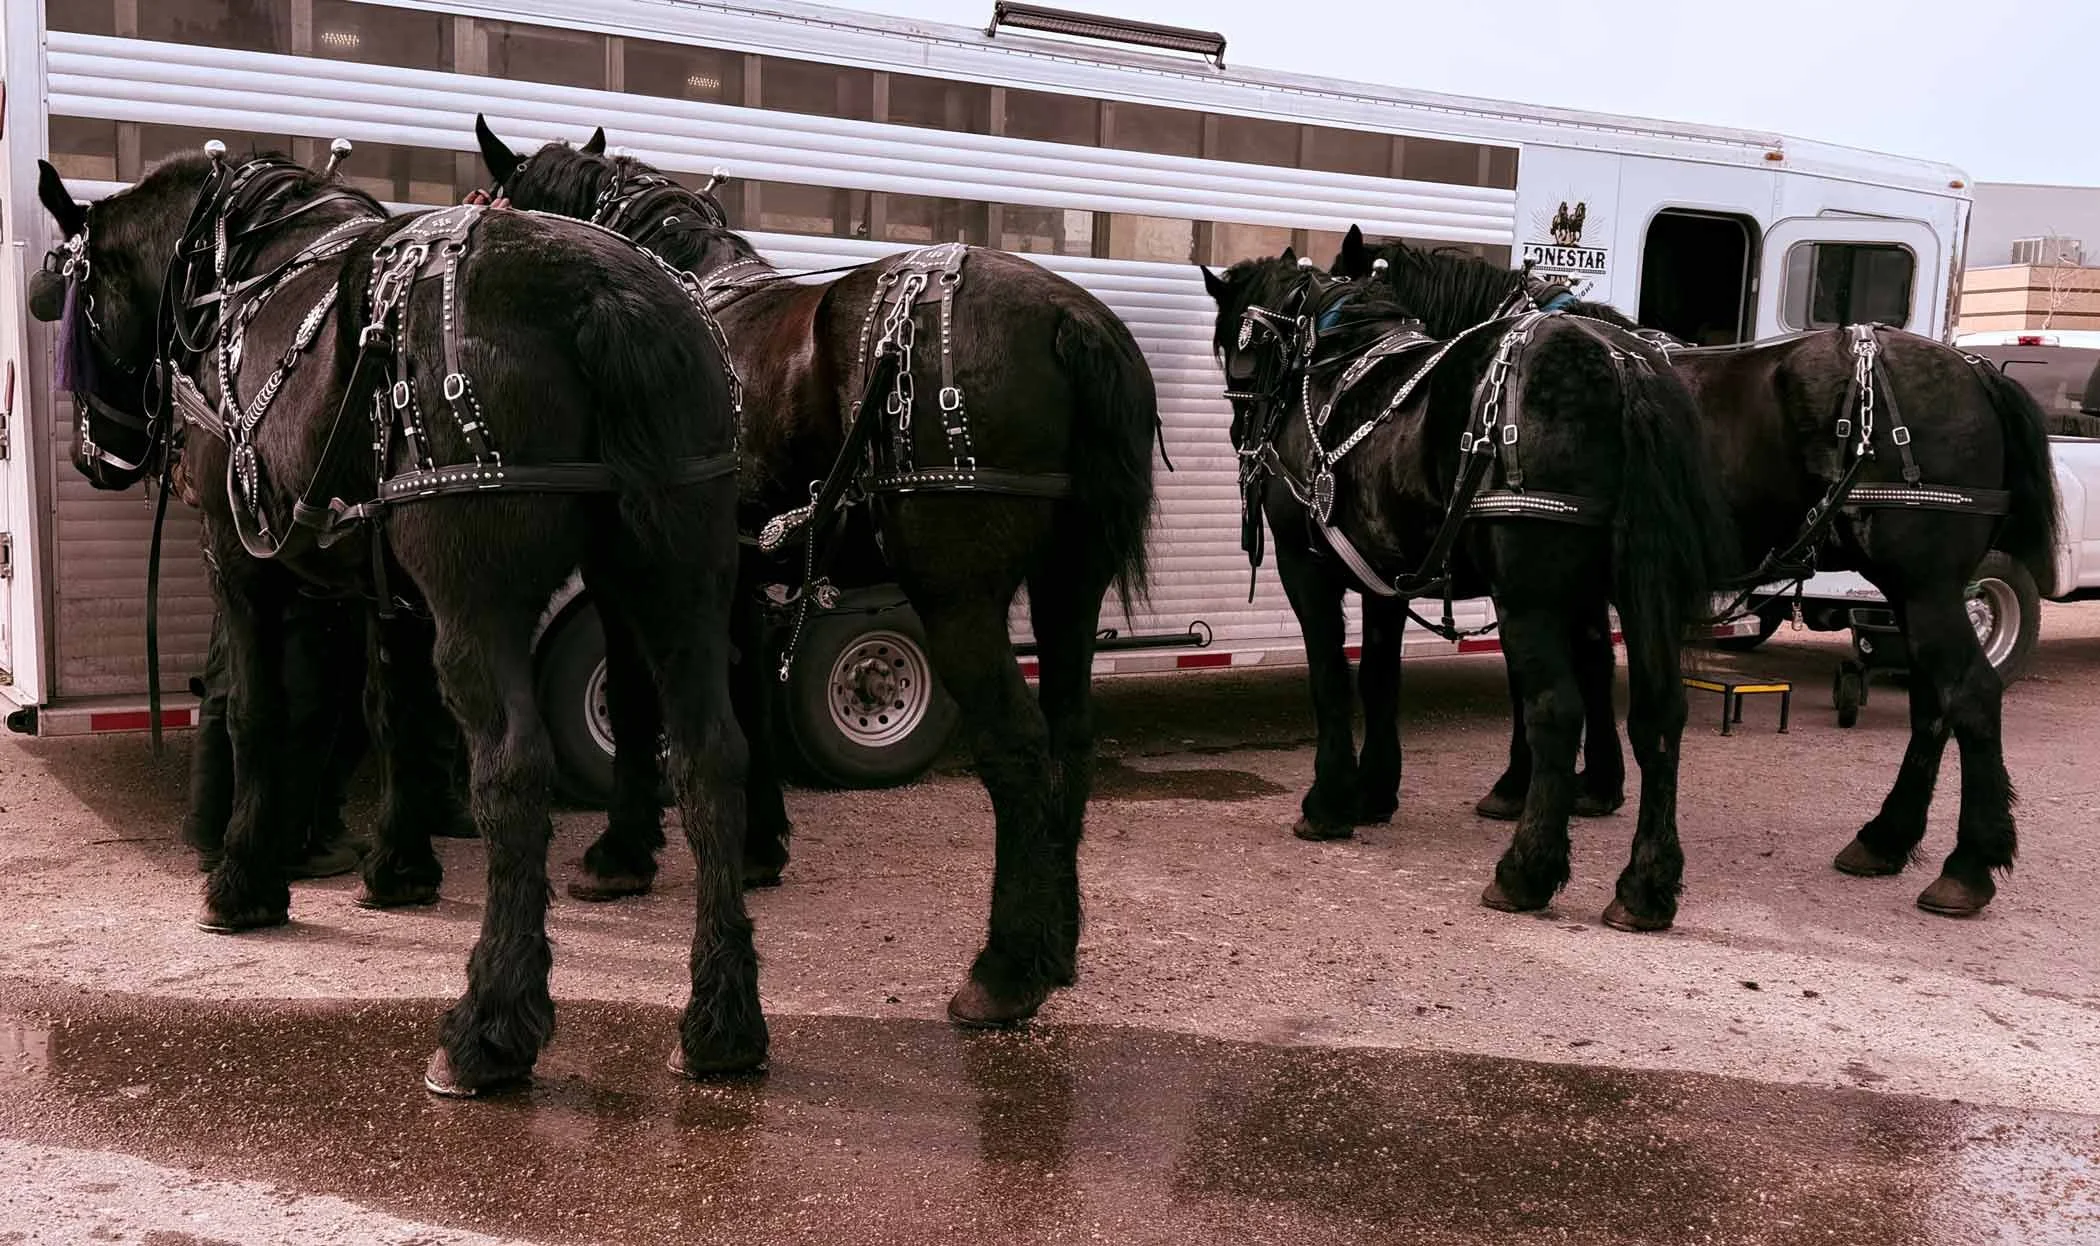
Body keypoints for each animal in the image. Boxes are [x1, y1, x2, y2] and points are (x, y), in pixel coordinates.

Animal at [32, 146, 756, 1093]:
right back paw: (721, 1020)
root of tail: (601, 292)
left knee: (514, 772)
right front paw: (399, 867)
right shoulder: (392, 593)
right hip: (679, 582)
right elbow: (393, 714)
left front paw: (244, 878)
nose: (95, 453)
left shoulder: (243, 561)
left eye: (73, 304)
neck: (237, 274)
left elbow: (261, 715)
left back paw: (489, 1026)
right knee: (710, 760)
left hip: (484, 600)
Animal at [472, 120, 1162, 1027]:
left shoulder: (634, 574)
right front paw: (759, 843)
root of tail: (1066, 317)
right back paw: (1057, 944)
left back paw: (1005, 968)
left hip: (958, 596)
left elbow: (634, 695)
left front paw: (622, 853)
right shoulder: (739, 580)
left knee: (1016, 747)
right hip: (1068, 586)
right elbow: (750, 706)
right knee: (1070, 735)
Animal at [1202, 248, 1730, 930]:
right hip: (1644, 590)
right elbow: (1379, 678)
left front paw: (1330, 801)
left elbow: (1331, 679)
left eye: (1230, 345)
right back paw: (1646, 885)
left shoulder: (1306, 566)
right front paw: (1374, 789)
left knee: (1556, 709)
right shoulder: (1385, 576)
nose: (1242, 437)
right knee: (1660, 714)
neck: (1332, 366)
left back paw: (1526, 871)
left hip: (1531, 597)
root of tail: (1622, 367)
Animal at [1335, 229, 2062, 916]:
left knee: (1969, 694)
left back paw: (1967, 866)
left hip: (1926, 586)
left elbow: (1543, 688)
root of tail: (1973, 369)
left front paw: (1522, 792)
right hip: (1912, 592)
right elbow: (1594, 674)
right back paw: (1886, 839)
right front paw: (1594, 787)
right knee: (1932, 703)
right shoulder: (1594, 590)